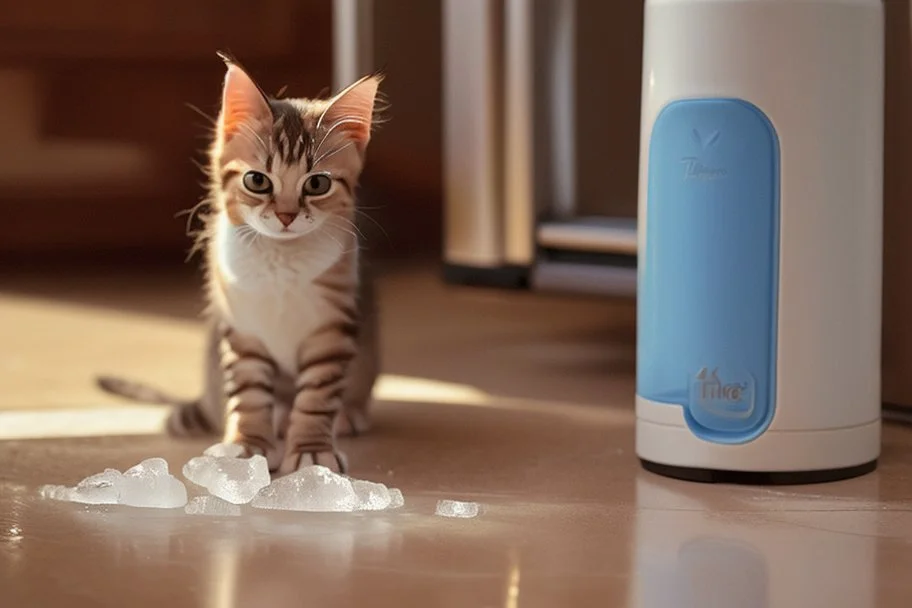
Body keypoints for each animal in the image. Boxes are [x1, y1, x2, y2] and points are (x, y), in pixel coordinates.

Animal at [98, 53, 382, 476]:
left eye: (317, 185)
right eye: (257, 181)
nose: (286, 216)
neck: (280, 260)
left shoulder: (332, 327)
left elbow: (316, 397)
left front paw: (312, 449)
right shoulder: (241, 324)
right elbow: (249, 395)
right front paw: (247, 447)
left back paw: (346, 415)